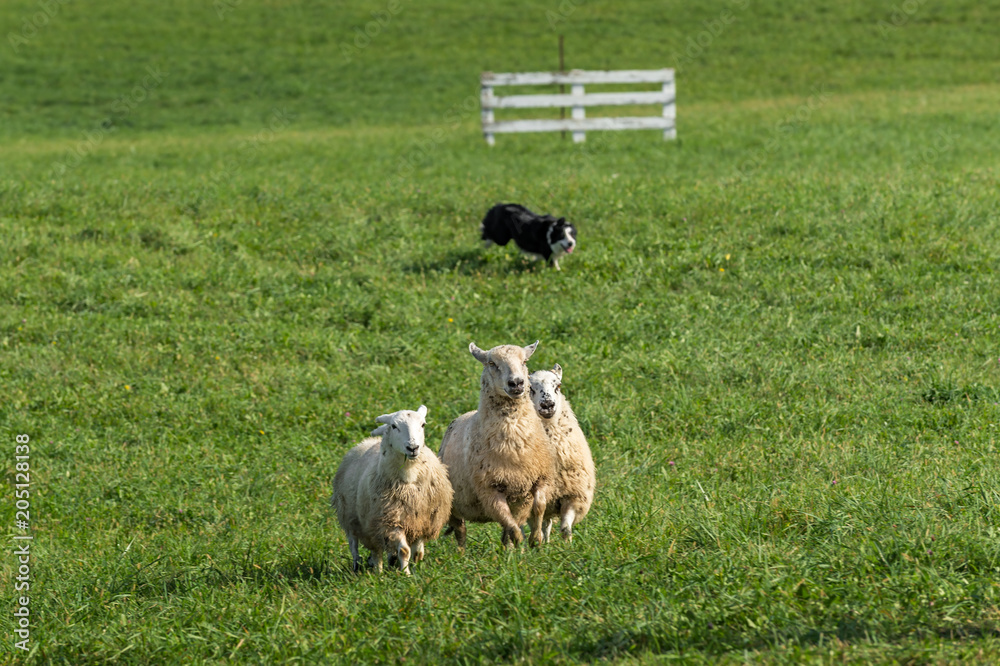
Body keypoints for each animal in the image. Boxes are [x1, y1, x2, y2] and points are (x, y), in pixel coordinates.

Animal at [331, 405, 454, 574]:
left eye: (423, 424)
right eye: (394, 426)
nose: (412, 448)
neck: (409, 477)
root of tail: (366, 442)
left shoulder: (423, 519)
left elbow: (417, 550)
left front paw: (415, 565)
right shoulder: (390, 521)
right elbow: (404, 550)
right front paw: (406, 574)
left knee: (377, 549)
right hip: (354, 518)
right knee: (357, 546)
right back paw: (370, 570)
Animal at [439, 341, 556, 548]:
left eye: (524, 361)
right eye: (492, 363)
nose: (516, 383)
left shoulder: (541, 478)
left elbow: (539, 506)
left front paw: (535, 539)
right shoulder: (489, 490)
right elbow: (510, 524)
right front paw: (521, 543)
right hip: (453, 504)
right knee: (461, 531)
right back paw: (462, 553)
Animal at [528, 364, 595, 542]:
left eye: (558, 386)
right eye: (530, 388)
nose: (547, 405)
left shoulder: (573, 496)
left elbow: (566, 528)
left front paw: (567, 546)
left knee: (547, 524)